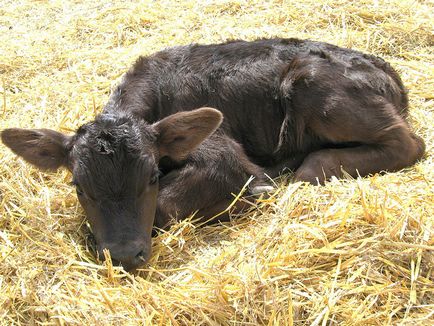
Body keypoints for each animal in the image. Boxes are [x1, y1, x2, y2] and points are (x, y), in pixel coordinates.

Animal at [2, 38, 424, 272]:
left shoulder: (227, 160)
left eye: (152, 177)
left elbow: (166, 206)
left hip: (313, 84)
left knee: (409, 144)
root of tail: (388, 71)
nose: (123, 255)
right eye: (78, 187)